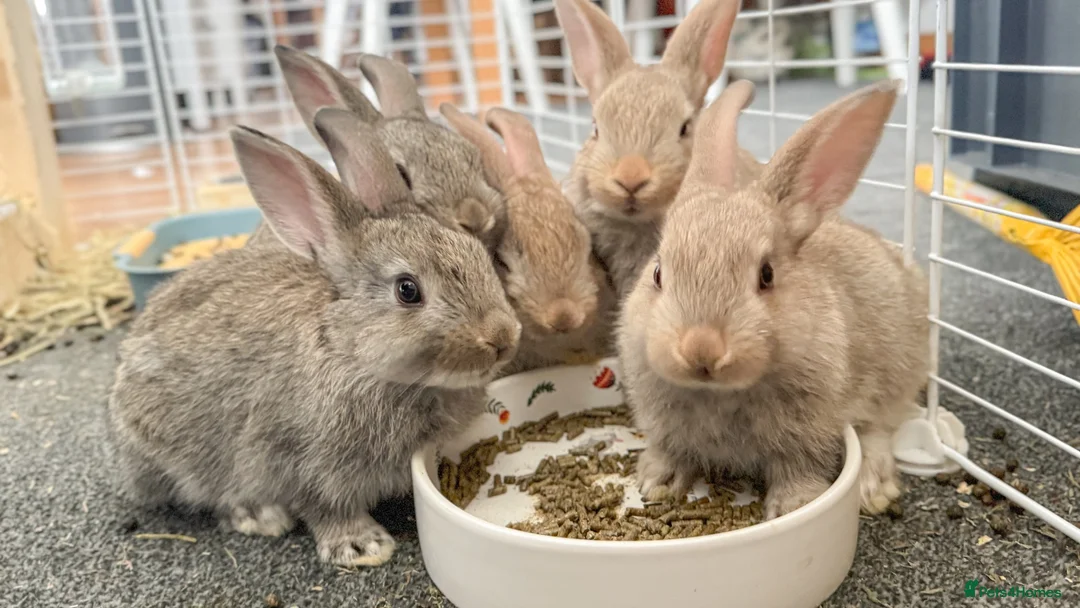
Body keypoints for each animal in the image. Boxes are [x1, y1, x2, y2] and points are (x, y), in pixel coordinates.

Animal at [108, 110, 521, 567]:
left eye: (480, 256)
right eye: (407, 290)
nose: (503, 337)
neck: (349, 352)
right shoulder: (296, 460)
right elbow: (324, 507)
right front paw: (363, 547)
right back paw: (260, 516)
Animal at [616, 79, 928, 520]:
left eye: (767, 275)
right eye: (658, 274)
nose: (701, 350)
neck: (719, 392)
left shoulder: (808, 430)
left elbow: (799, 466)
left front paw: (794, 506)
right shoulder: (662, 423)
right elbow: (669, 449)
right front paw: (656, 481)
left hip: (895, 374)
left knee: (878, 429)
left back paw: (874, 488)